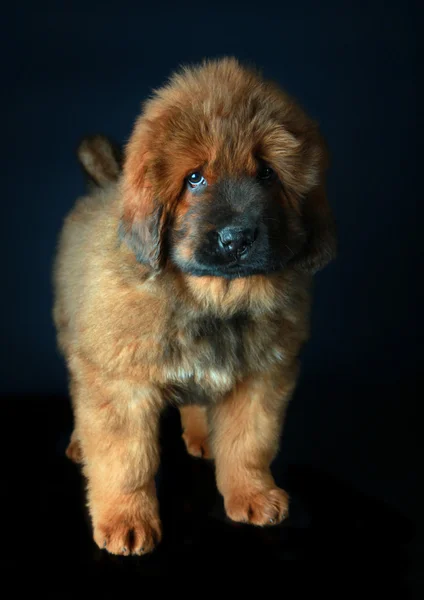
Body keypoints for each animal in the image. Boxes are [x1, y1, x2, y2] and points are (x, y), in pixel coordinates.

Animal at [53, 58, 336, 556]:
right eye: (195, 178)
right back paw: (80, 445)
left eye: (267, 173)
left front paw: (251, 493)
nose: (237, 239)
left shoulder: (262, 378)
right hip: (75, 344)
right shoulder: (120, 383)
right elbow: (126, 460)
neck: (210, 299)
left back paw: (203, 437)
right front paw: (126, 520)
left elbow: (249, 444)